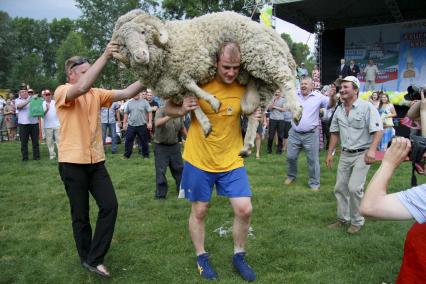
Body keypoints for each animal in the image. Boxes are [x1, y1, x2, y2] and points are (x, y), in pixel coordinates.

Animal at [111, 8, 302, 156]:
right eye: (124, 44)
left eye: (143, 32)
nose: (140, 56)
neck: (166, 48)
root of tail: (280, 42)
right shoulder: (175, 87)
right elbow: (193, 104)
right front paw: (206, 124)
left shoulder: (197, 62)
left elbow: (187, 81)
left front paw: (214, 102)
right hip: (262, 81)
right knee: (255, 112)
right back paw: (246, 146)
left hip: (263, 54)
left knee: (284, 79)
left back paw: (297, 110)